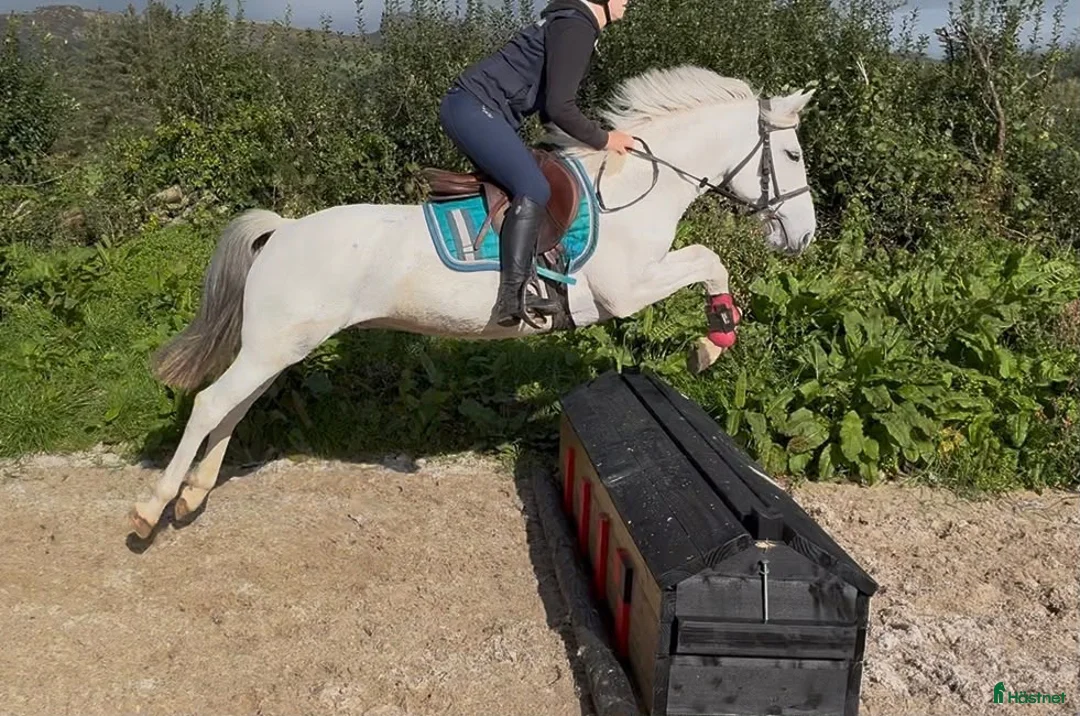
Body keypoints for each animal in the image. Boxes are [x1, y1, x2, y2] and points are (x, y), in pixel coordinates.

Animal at [128, 65, 818, 539]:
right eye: (791, 154)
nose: (805, 237)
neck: (633, 191)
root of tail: (283, 230)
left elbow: (707, 259)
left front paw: (713, 339)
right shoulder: (625, 289)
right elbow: (708, 257)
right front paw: (714, 341)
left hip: (279, 345)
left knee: (234, 406)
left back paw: (193, 494)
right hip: (276, 344)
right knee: (212, 402)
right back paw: (152, 506)